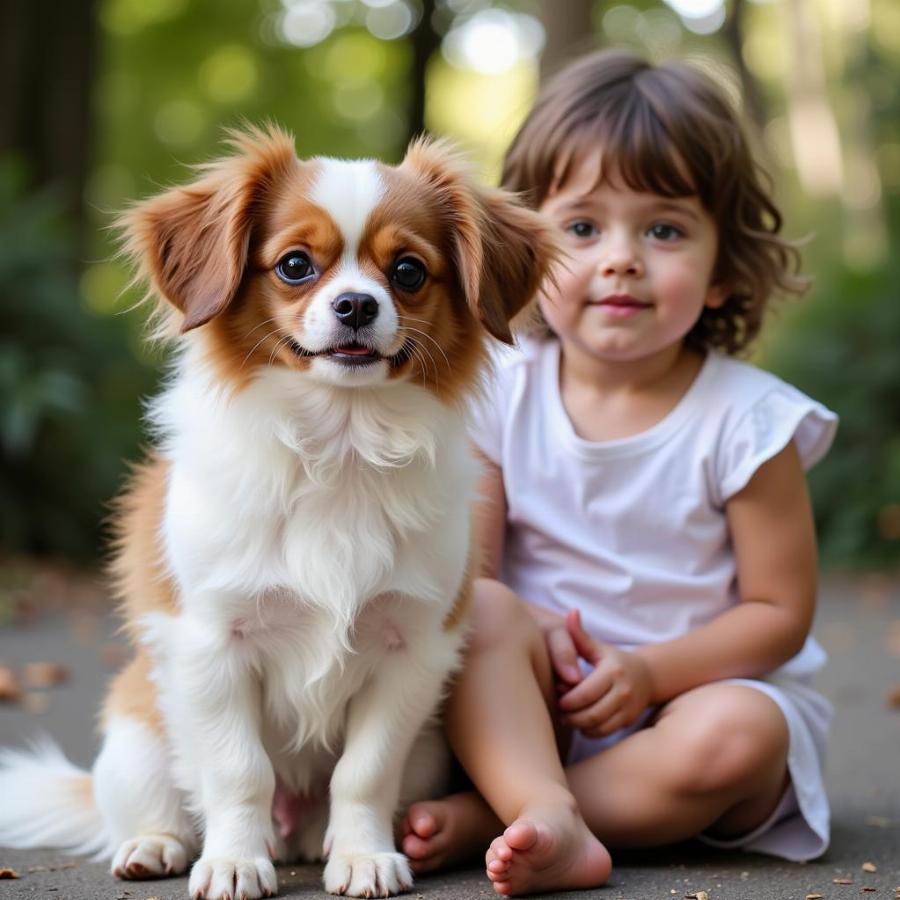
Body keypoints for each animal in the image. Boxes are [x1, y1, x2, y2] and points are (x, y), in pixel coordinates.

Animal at [0, 128, 556, 900]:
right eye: (295, 265)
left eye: (409, 272)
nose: (356, 305)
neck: (339, 445)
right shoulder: (211, 643)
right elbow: (239, 771)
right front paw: (234, 861)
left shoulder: (410, 651)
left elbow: (364, 772)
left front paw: (362, 856)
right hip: (138, 734)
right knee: (161, 804)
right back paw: (159, 845)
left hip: (428, 750)